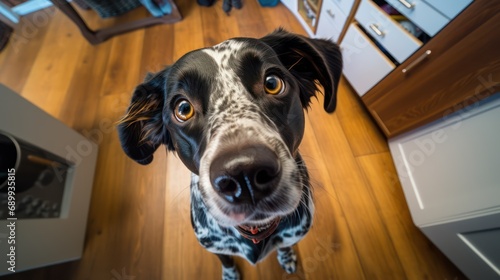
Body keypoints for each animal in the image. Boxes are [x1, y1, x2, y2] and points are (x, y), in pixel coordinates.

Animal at [119, 29, 342, 278]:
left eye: (272, 83)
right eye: (183, 109)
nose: (244, 175)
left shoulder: (294, 234)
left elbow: (285, 246)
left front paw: (286, 257)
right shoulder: (216, 247)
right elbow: (226, 260)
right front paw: (231, 274)